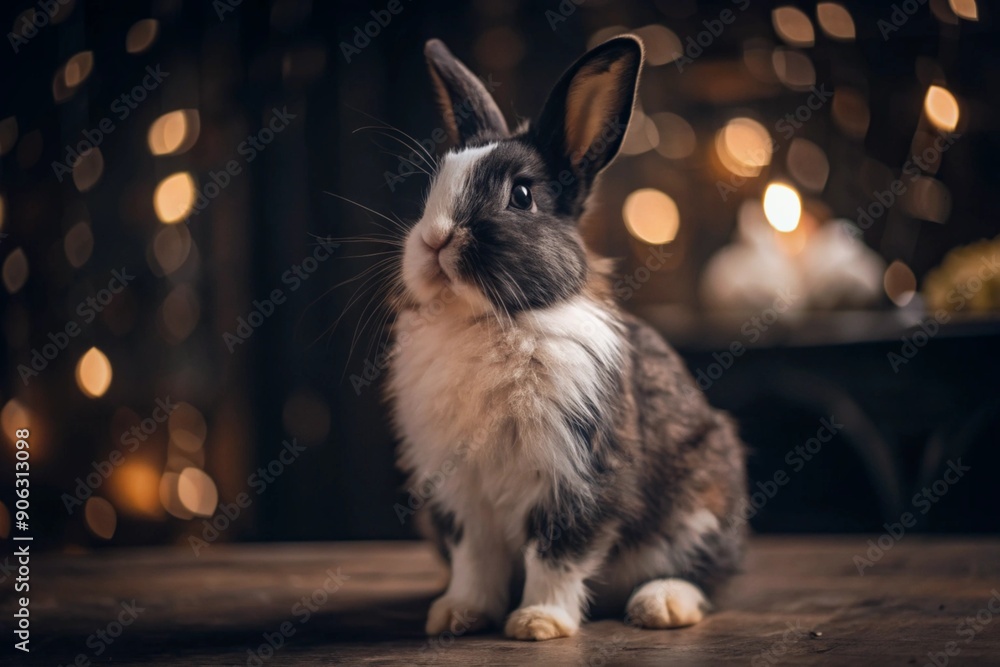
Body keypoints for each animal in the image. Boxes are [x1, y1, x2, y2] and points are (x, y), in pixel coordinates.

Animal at [386, 35, 748, 641]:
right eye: (433, 187)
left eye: (522, 195)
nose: (434, 239)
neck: (490, 321)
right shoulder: (458, 493)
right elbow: (473, 558)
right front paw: (458, 615)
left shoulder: (579, 473)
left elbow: (557, 550)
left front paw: (538, 623)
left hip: (702, 503)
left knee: (709, 577)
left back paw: (660, 604)